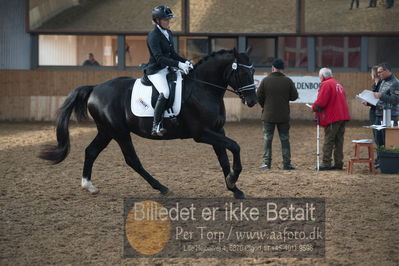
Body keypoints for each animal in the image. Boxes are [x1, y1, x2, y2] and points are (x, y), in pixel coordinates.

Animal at [40, 48, 258, 198]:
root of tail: (95, 88)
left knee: (91, 151)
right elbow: (235, 146)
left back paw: (89, 186)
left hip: (106, 131)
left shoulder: (217, 130)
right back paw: (162, 187)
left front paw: (234, 188)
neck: (203, 88)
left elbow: (223, 158)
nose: (252, 101)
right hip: (119, 132)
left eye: (253, 70)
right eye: (242, 73)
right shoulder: (202, 133)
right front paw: (233, 179)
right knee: (132, 160)